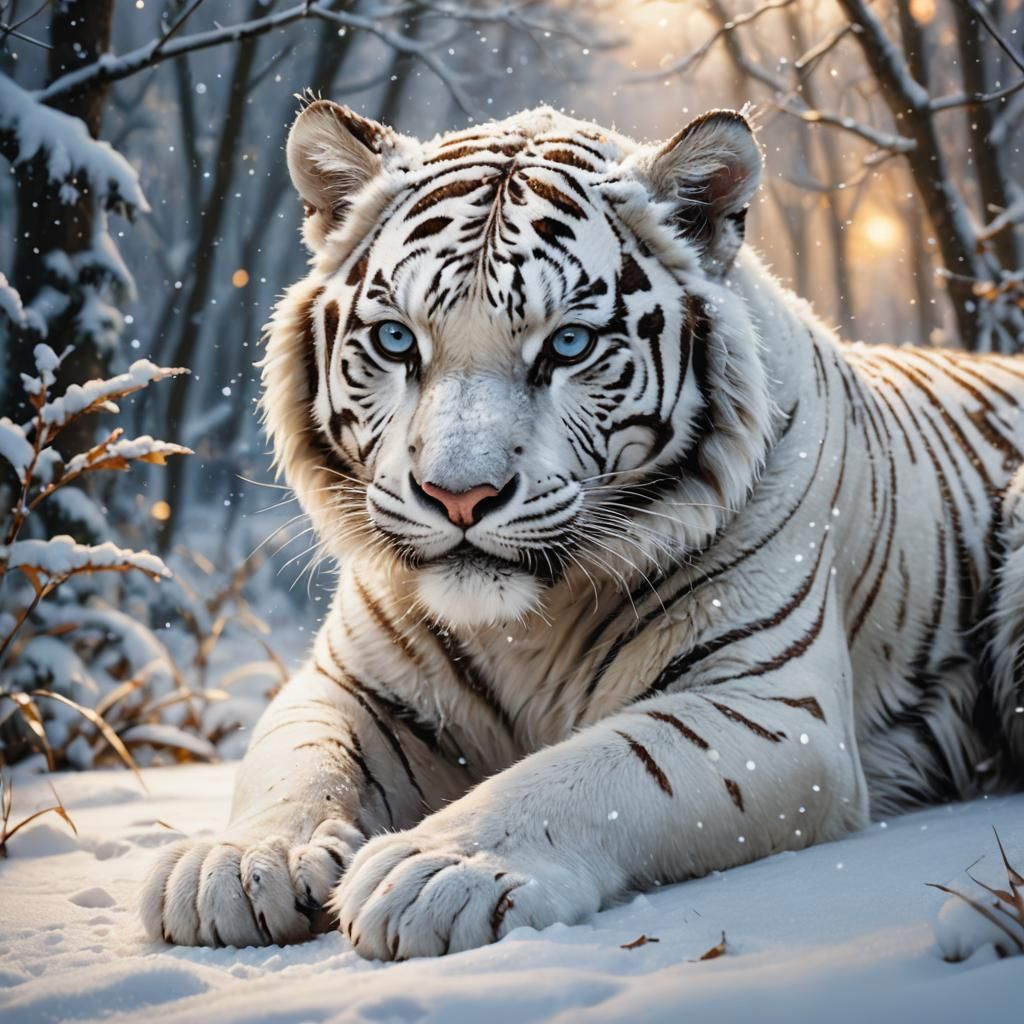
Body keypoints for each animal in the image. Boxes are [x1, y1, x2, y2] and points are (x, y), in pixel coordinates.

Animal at [141, 102, 1024, 959]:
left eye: (568, 344)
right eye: (396, 339)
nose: (459, 497)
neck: (523, 626)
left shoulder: (769, 706)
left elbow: (602, 770)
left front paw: (442, 869)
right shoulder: (349, 684)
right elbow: (298, 763)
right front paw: (241, 863)